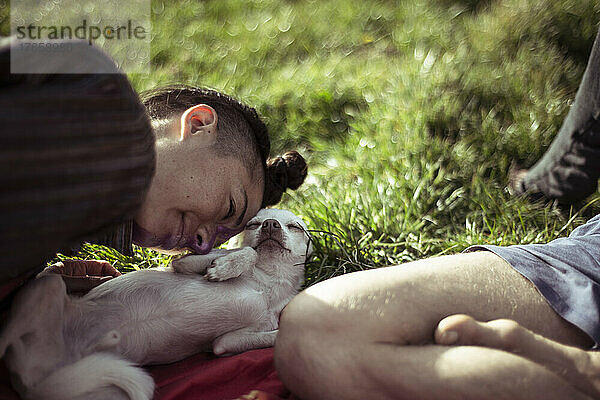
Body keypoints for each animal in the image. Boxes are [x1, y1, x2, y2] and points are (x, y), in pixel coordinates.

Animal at [0, 208, 310, 400]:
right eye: (253, 224)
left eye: (296, 227)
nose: (271, 225)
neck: (268, 280)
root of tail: (27, 382)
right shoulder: (185, 263)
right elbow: (246, 252)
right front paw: (226, 267)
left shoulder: (226, 343)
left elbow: (269, 334)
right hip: (49, 284)